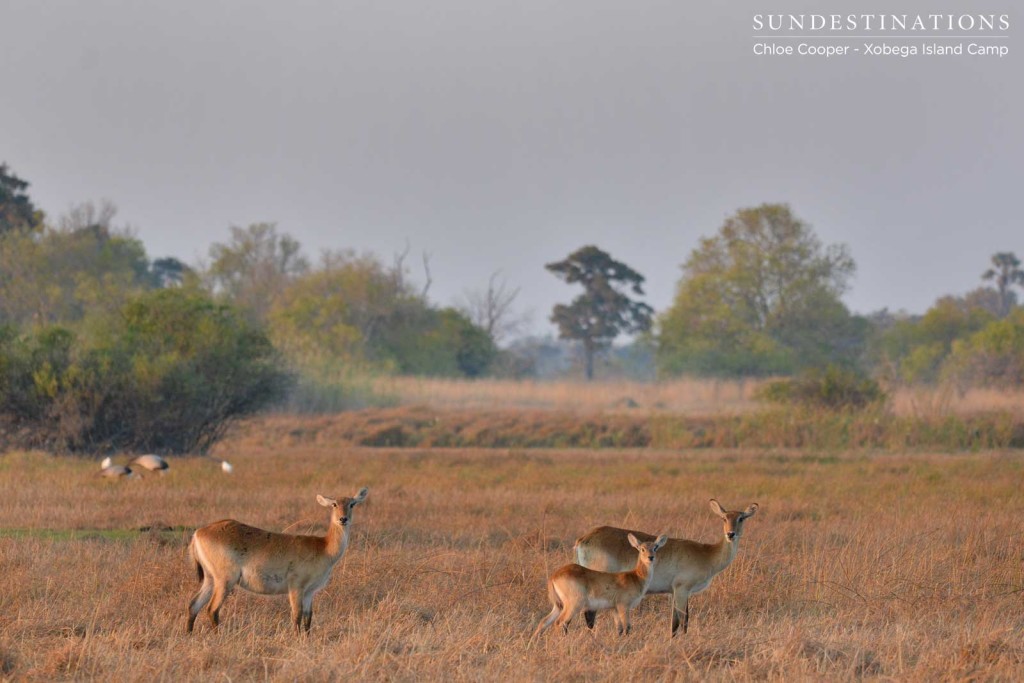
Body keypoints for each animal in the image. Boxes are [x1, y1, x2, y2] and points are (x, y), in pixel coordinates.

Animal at [187, 489, 368, 634]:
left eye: (352, 504)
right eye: (334, 504)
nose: (343, 519)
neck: (323, 547)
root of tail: (198, 532)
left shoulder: (310, 592)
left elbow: (308, 618)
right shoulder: (296, 587)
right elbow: (297, 616)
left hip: (210, 579)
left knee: (194, 605)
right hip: (225, 580)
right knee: (212, 609)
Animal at [532, 532, 667, 638]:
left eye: (655, 547)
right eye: (642, 548)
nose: (651, 557)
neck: (636, 577)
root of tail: (554, 576)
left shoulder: (614, 609)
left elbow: (619, 629)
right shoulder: (623, 606)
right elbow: (627, 627)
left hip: (558, 606)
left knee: (544, 622)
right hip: (574, 604)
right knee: (560, 622)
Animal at [577, 499, 761, 638]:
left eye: (741, 518)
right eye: (724, 518)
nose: (730, 534)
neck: (707, 553)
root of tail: (584, 539)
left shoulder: (675, 592)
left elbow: (674, 622)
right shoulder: (682, 589)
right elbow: (684, 620)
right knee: (589, 615)